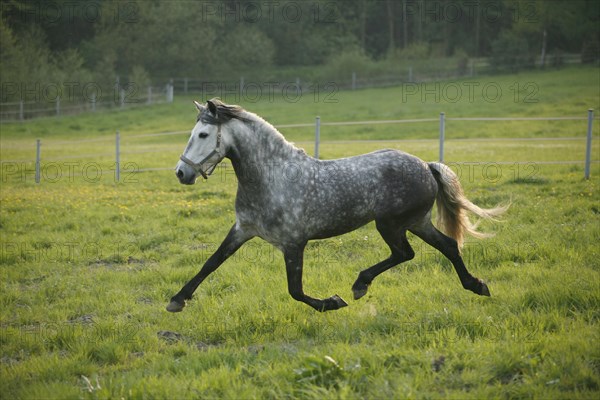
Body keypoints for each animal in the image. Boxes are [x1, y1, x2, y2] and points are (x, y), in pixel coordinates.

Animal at [166, 98, 508, 314]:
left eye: (203, 134)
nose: (181, 173)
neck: (273, 178)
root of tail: (425, 165)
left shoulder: (294, 242)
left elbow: (295, 290)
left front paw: (333, 302)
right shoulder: (242, 230)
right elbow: (211, 263)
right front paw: (177, 300)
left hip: (391, 223)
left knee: (405, 253)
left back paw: (360, 285)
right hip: (416, 221)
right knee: (446, 245)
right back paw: (476, 285)